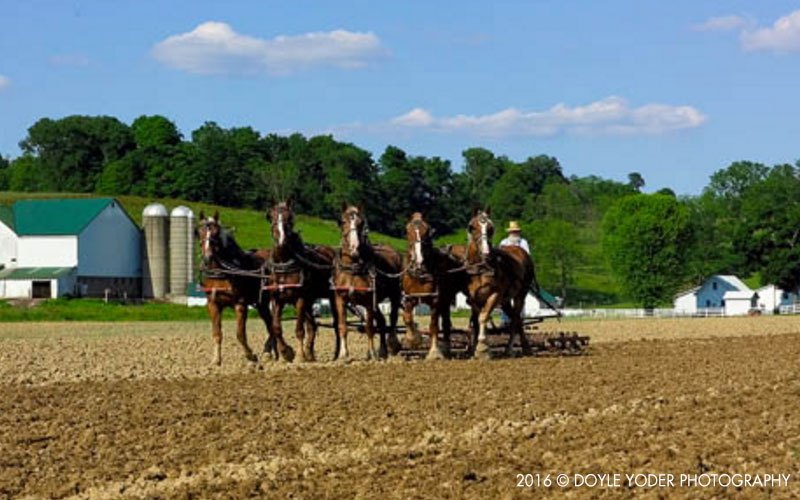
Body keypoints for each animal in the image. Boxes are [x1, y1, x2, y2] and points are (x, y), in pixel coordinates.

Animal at [195, 211, 296, 364]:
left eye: (216, 233)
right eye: (199, 232)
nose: (207, 258)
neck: (223, 271)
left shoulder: (240, 304)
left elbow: (240, 334)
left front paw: (250, 355)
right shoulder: (213, 304)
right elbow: (217, 333)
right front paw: (216, 360)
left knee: (273, 325)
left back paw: (277, 352)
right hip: (261, 304)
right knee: (270, 324)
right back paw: (272, 353)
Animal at [268, 201, 340, 362]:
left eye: (290, 218)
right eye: (272, 217)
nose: (281, 241)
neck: (285, 263)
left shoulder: (300, 298)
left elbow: (299, 329)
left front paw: (300, 356)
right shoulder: (277, 299)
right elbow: (276, 327)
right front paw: (286, 353)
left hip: (331, 297)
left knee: (337, 324)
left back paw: (336, 354)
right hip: (310, 300)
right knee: (312, 325)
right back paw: (310, 353)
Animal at [332, 204, 404, 364]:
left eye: (361, 223)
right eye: (343, 221)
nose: (354, 248)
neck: (353, 268)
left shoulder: (368, 301)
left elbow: (369, 327)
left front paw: (371, 353)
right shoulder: (340, 299)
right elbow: (342, 326)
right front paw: (343, 355)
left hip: (394, 294)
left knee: (393, 318)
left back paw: (392, 344)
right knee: (382, 322)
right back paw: (383, 351)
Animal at [404, 213, 466, 362]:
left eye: (426, 231)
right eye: (408, 231)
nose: (419, 260)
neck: (420, 273)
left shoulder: (435, 301)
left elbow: (433, 326)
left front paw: (433, 352)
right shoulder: (409, 299)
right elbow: (407, 318)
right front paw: (413, 339)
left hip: (446, 298)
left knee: (445, 324)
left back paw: (447, 349)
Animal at [466, 208, 536, 360]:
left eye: (491, 228)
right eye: (472, 227)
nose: (486, 252)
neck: (481, 268)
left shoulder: (495, 295)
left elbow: (483, 317)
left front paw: (483, 349)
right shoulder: (473, 299)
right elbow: (476, 321)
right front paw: (474, 350)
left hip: (520, 295)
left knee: (515, 319)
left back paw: (509, 349)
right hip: (505, 301)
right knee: (517, 319)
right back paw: (526, 348)